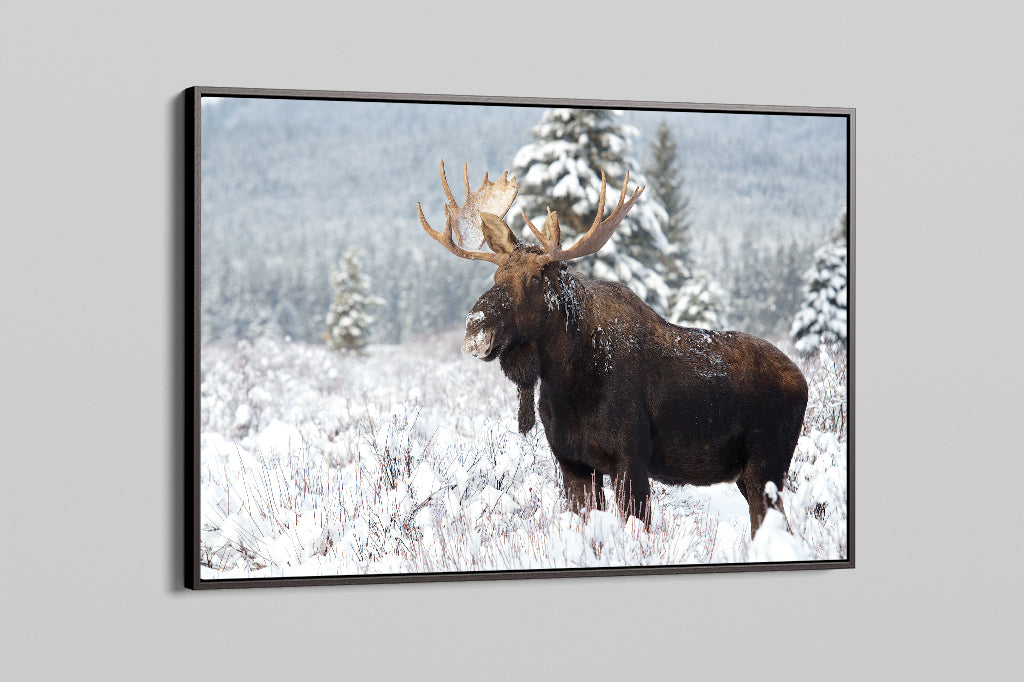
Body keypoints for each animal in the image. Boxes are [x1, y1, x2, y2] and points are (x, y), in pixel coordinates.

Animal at [417, 161, 808, 538]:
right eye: (496, 278)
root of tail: (803, 381)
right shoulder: (573, 463)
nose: (475, 326)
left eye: (534, 279)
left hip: (767, 464)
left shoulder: (630, 459)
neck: (567, 384)